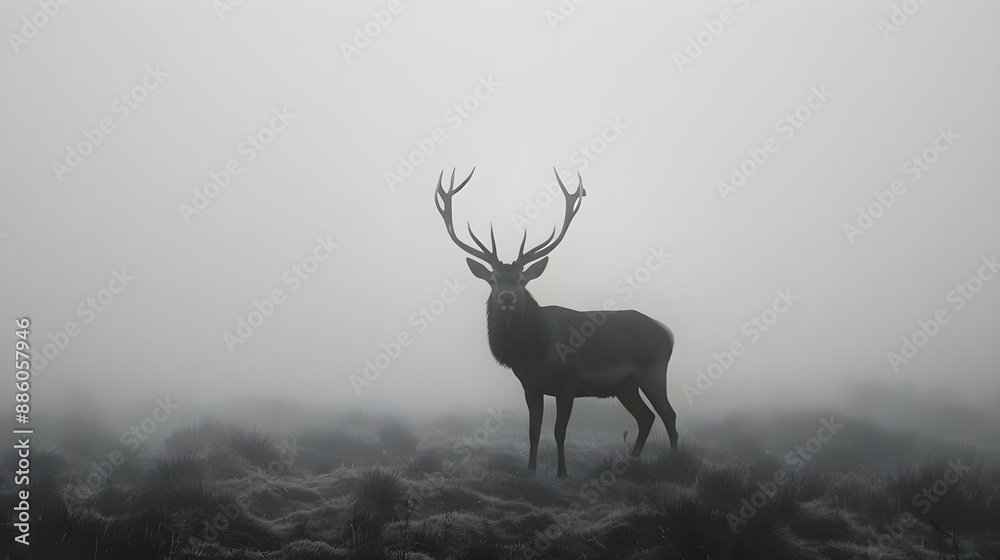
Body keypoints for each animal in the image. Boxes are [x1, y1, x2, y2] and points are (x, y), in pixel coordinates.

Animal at [434, 167, 678, 478]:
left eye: (522, 280)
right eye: (492, 279)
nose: (507, 297)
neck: (535, 351)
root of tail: (668, 333)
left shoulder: (568, 382)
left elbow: (560, 431)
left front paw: (562, 473)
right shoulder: (530, 386)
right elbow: (533, 432)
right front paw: (530, 471)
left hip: (653, 371)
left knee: (668, 415)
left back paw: (676, 460)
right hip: (625, 385)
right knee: (646, 417)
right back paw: (629, 463)